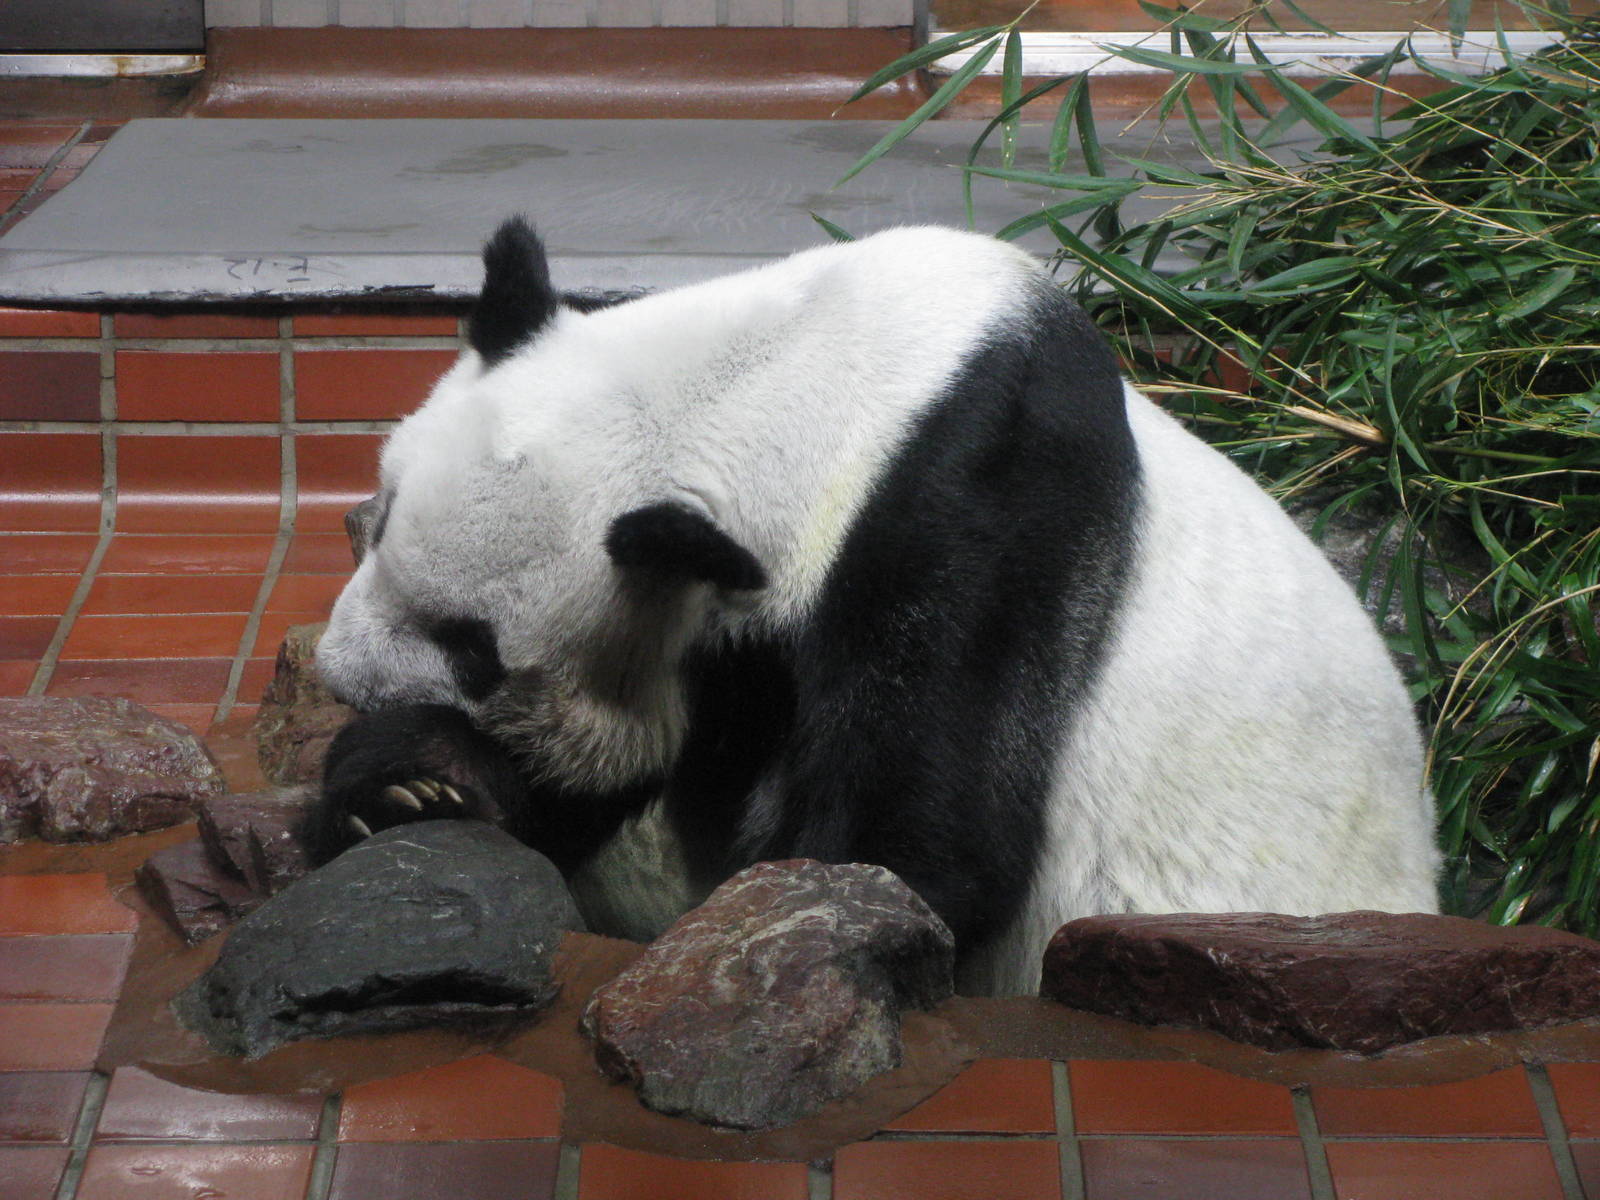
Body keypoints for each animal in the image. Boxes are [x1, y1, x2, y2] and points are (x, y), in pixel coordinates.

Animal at [310, 217, 1439, 996]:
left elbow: (910, 856)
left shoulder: (972, 511)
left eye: (474, 648)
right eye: (377, 519)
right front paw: (416, 781)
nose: (341, 676)